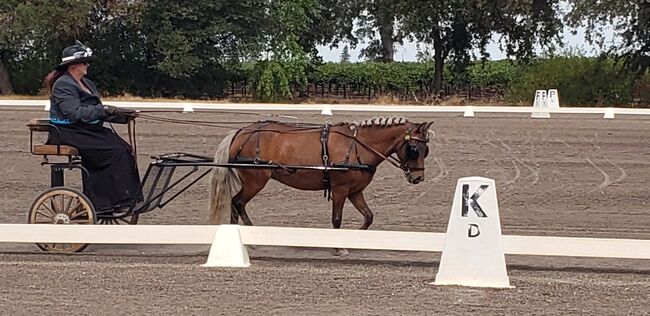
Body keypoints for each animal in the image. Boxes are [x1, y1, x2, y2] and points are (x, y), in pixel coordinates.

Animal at [208, 116, 430, 247]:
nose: (418, 177)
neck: (358, 146)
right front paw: (339, 248)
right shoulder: (340, 190)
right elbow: (337, 220)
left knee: (237, 204)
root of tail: (240, 132)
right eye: (414, 149)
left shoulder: (355, 191)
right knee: (237, 202)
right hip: (255, 181)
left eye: (425, 150)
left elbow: (368, 216)